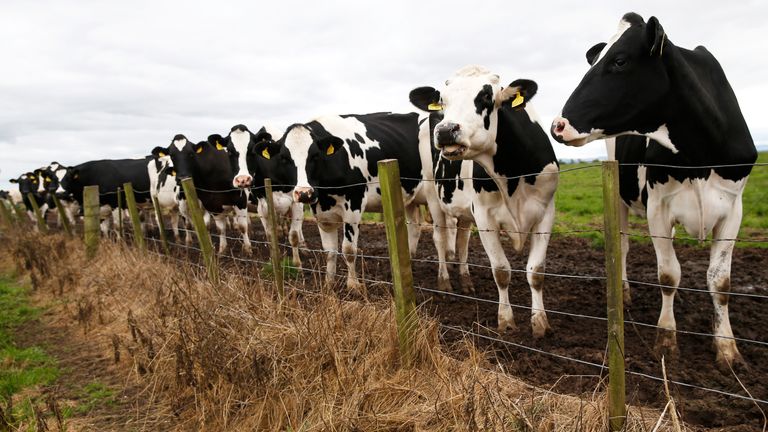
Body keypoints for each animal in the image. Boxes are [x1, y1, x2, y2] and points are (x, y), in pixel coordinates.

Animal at [222, 123, 306, 266]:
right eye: (229, 151)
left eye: (251, 151)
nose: (243, 180)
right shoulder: (262, 207)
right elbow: (269, 235)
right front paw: (274, 259)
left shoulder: (297, 202)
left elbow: (294, 234)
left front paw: (297, 264)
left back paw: (303, 246)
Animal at [255, 113, 452, 292]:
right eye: (284, 158)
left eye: (315, 155)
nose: (304, 193)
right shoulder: (321, 211)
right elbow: (330, 251)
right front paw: (329, 283)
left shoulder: (354, 204)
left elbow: (348, 249)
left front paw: (354, 285)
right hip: (409, 196)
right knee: (414, 229)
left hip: (435, 195)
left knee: (440, 236)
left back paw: (444, 280)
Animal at [408, 65, 560, 338]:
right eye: (443, 100)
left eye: (487, 97)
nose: (445, 130)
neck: (512, 174)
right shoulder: (485, 216)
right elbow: (501, 271)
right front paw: (506, 321)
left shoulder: (545, 212)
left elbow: (536, 272)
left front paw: (540, 323)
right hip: (433, 195)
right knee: (440, 238)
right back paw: (445, 282)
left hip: (464, 211)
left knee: (461, 242)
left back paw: (466, 281)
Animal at [548, 11, 760, 366]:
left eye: (620, 61)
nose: (558, 125)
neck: (699, 156)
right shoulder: (657, 208)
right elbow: (668, 275)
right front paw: (666, 339)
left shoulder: (733, 209)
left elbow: (720, 282)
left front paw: (727, 347)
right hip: (619, 198)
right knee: (621, 248)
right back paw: (624, 293)